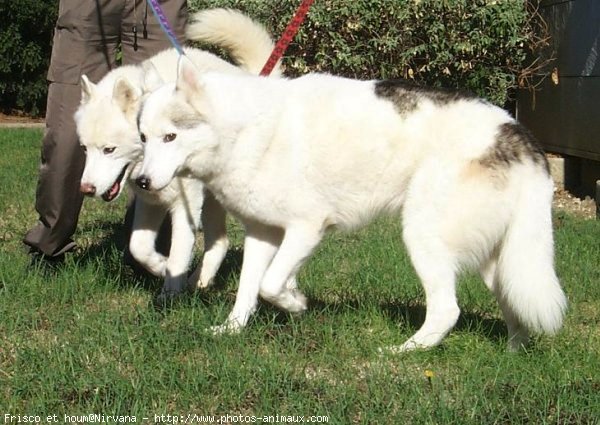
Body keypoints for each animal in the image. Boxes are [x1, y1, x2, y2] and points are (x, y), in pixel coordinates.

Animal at [75, 9, 282, 294]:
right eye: (84, 148)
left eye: (109, 149)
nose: (86, 189)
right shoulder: (151, 201)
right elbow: (138, 247)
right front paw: (160, 267)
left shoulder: (186, 206)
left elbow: (178, 254)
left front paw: (170, 292)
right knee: (221, 243)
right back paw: (199, 282)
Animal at [135, 60, 568, 352]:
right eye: (143, 137)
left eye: (170, 137)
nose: (141, 182)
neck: (243, 129)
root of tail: (518, 132)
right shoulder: (263, 234)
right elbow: (249, 289)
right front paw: (233, 329)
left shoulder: (307, 228)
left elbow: (271, 284)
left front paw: (295, 303)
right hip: (500, 263)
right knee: (514, 308)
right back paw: (512, 354)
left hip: (423, 237)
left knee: (447, 310)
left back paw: (404, 352)